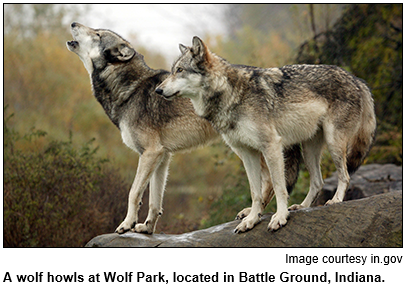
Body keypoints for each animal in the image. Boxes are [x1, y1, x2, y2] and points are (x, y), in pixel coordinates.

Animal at [66, 23, 302, 235]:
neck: (130, 89)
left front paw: (126, 224)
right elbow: (155, 201)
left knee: (271, 180)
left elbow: (133, 193)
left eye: (97, 34)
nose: (73, 23)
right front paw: (147, 228)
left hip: (249, 146)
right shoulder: (162, 156)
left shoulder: (150, 153)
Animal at [155, 36, 374, 234]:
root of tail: (356, 79)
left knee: (345, 175)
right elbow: (255, 192)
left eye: (179, 70)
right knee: (318, 181)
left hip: (333, 142)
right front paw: (252, 220)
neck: (230, 93)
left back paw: (335, 200)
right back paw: (302, 207)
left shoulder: (272, 146)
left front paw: (280, 217)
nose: (157, 90)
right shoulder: (247, 152)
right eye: (172, 71)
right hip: (308, 149)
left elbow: (279, 187)